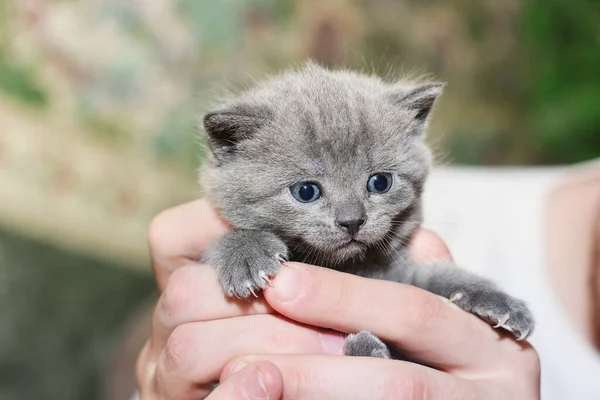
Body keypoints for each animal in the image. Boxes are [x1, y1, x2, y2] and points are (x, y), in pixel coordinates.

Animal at [199, 62, 532, 360]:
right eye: (306, 191)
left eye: (380, 182)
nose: (352, 221)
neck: (348, 267)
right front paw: (245, 254)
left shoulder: (399, 273)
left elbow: (440, 275)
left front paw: (499, 301)